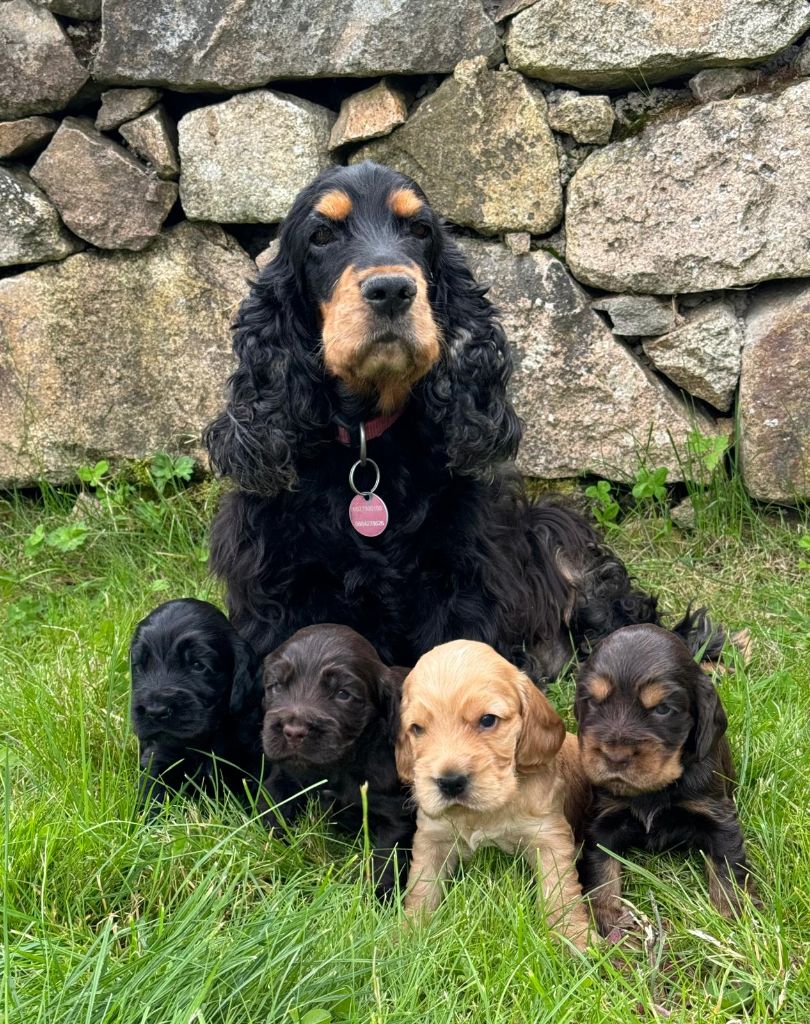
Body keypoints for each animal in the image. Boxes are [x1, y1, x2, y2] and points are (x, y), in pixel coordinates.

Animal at [261, 622, 415, 897]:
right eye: (276, 686)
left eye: (343, 694)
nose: (293, 731)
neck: (339, 766)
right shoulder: (281, 780)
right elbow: (273, 816)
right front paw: (272, 861)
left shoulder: (396, 814)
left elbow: (386, 860)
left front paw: (379, 897)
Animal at [395, 638, 593, 950]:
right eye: (417, 728)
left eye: (488, 720)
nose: (450, 782)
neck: (484, 813)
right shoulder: (431, 836)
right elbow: (422, 886)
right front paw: (409, 934)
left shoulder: (548, 835)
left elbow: (560, 890)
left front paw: (572, 939)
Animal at [577, 618, 753, 933]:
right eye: (592, 701)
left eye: (662, 709)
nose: (615, 756)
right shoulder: (601, 820)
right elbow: (602, 874)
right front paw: (610, 922)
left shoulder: (718, 816)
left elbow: (727, 868)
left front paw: (731, 920)